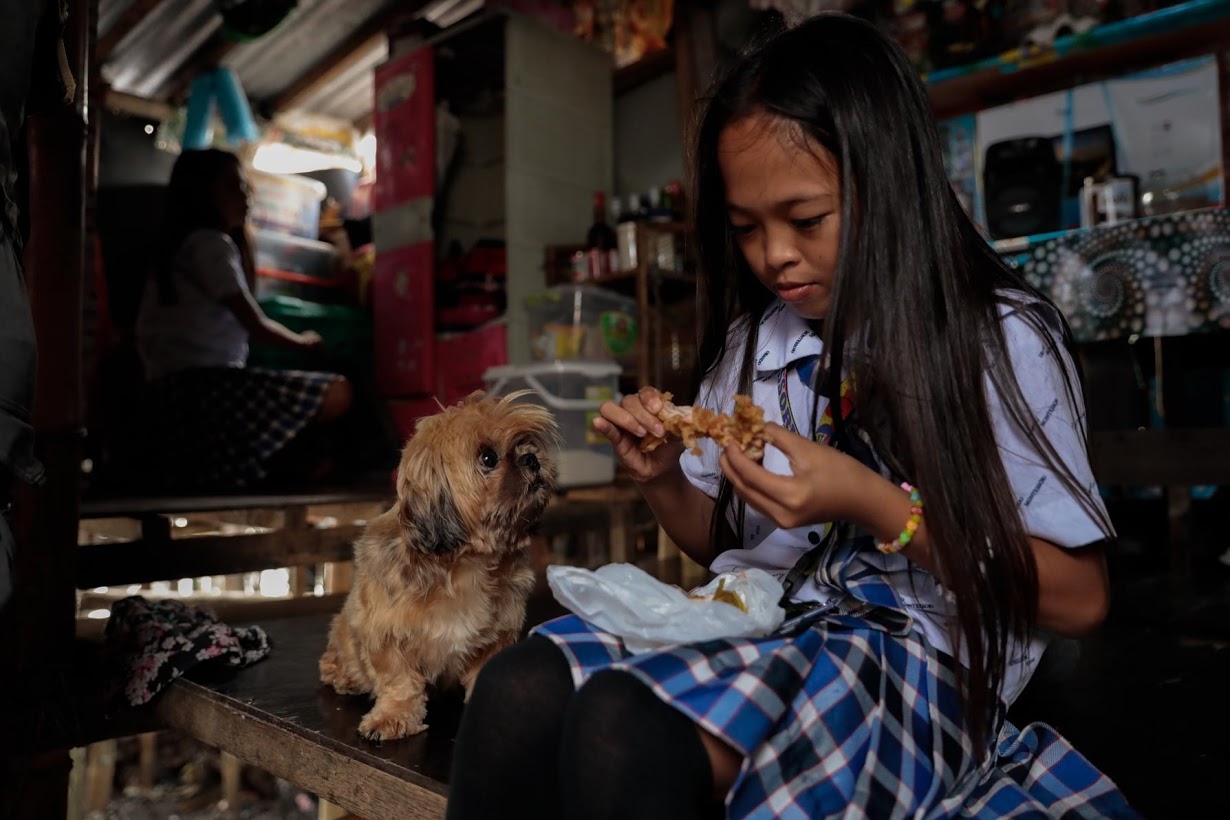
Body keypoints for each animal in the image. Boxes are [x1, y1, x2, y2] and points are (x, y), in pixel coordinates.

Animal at [322, 393, 563, 742]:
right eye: (488, 458)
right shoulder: (383, 635)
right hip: (344, 631)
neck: (466, 565)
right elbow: (399, 681)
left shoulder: (498, 635)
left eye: (525, 444)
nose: (532, 459)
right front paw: (394, 715)